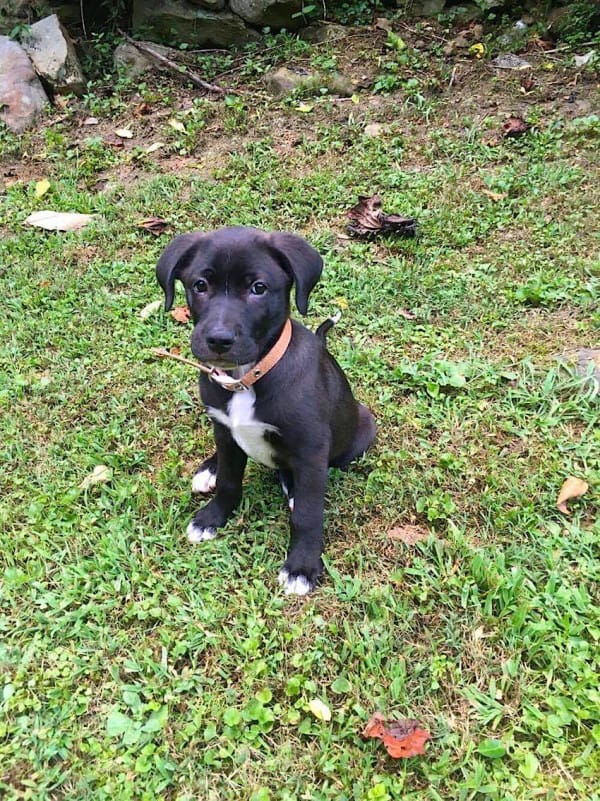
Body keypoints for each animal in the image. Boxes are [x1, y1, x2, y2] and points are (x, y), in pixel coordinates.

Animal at [157, 225, 378, 592]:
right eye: (200, 285)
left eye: (258, 288)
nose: (218, 340)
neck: (247, 378)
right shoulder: (225, 430)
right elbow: (230, 480)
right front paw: (212, 517)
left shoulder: (311, 448)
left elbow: (307, 514)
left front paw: (302, 567)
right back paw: (209, 469)